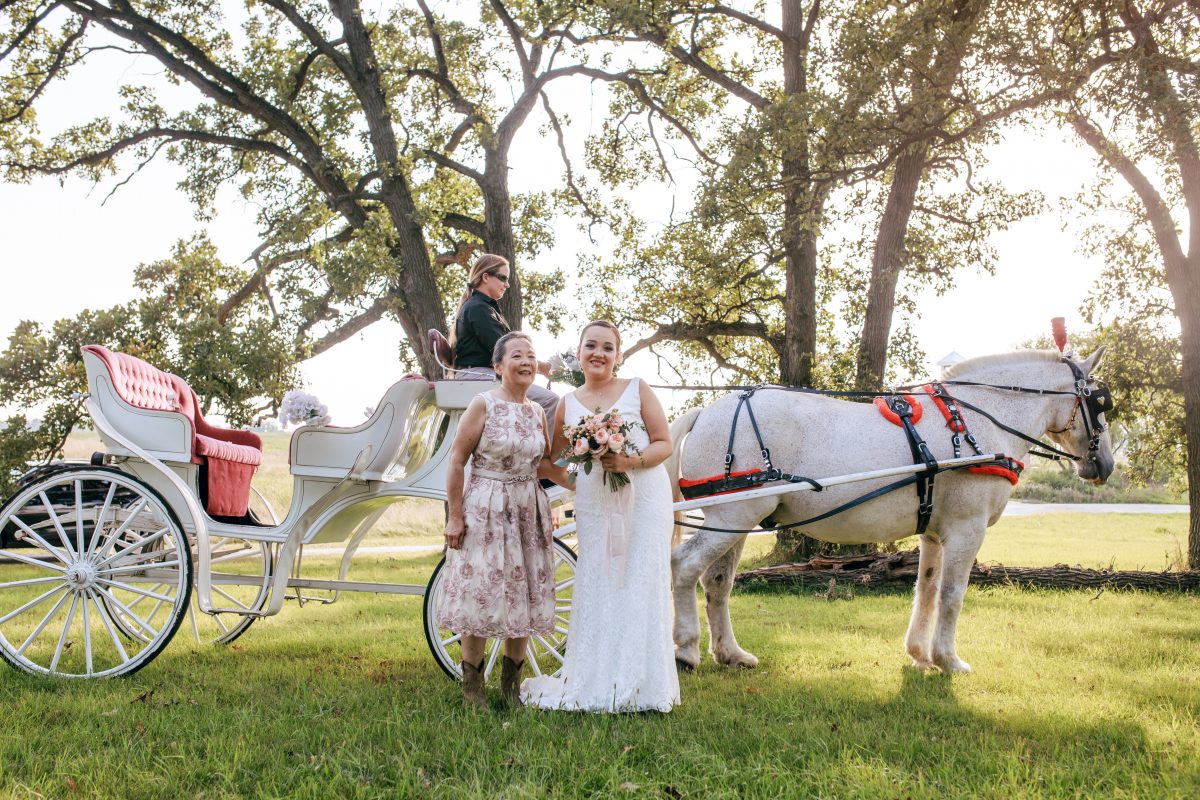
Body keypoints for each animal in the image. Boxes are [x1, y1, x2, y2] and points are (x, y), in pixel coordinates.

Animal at [667, 350, 1113, 676]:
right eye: (1100, 402)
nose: (1105, 465)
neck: (977, 420)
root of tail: (706, 412)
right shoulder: (967, 529)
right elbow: (952, 594)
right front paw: (949, 660)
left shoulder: (934, 532)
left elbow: (926, 589)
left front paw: (920, 654)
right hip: (732, 516)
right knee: (684, 566)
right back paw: (685, 650)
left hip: (737, 521)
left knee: (717, 583)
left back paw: (731, 653)